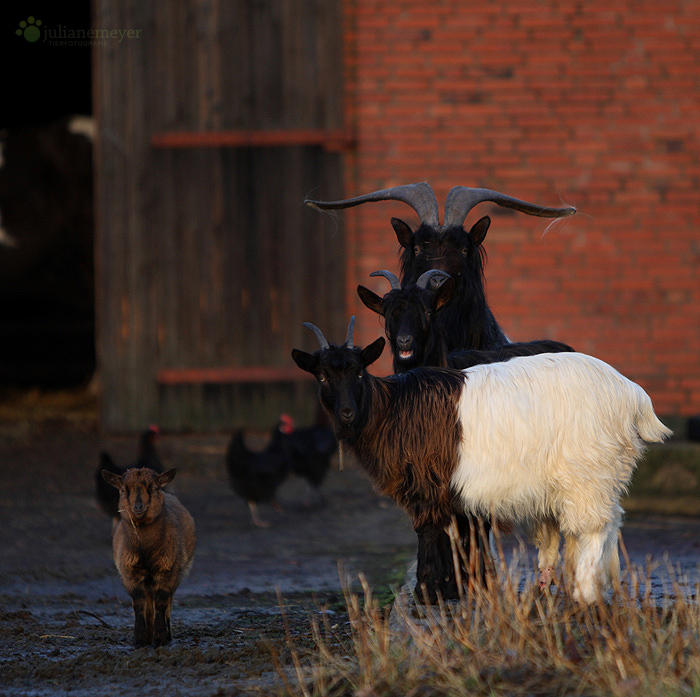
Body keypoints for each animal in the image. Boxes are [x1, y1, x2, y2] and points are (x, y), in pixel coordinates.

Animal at [292, 320, 672, 604]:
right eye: (322, 376)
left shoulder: (426, 486)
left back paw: (585, 592)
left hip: (588, 471)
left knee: (593, 527)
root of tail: (631, 394)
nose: (346, 413)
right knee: (606, 522)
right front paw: (446, 590)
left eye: (359, 373)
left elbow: (427, 533)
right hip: (598, 475)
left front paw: (425, 594)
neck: (394, 408)